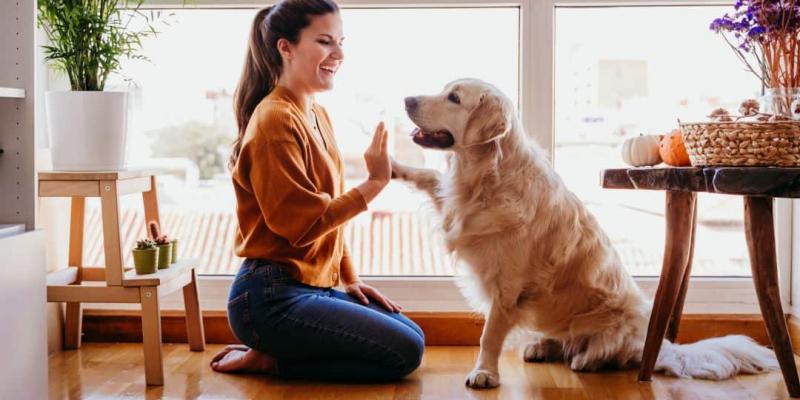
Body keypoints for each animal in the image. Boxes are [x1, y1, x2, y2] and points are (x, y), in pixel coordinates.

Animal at [390, 77, 780, 388]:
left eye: (454, 98)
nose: (407, 99)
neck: (486, 176)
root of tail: (659, 345)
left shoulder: (508, 286)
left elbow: (489, 335)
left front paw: (484, 373)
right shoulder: (454, 207)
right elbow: (428, 177)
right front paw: (391, 165)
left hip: (616, 324)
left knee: (605, 353)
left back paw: (585, 359)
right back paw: (541, 346)